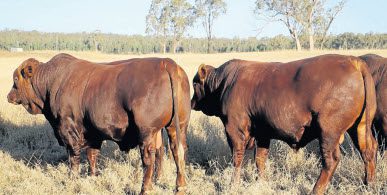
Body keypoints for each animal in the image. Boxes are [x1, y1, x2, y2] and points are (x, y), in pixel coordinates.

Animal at [6, 53, 192, 193]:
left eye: (15, 80)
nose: (8, 96)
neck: (52, 81)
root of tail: (166, 62)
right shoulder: (92, 132)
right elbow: (92, 155)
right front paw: (92, 177)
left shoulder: (68, 128)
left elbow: (73, 156)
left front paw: (72, 178)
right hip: (177, 127)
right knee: (178, 151)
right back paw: (180, 186)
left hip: (147, 132)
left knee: (149, 159)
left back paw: (146, 188)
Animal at [191, 54, 378, 194]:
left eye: (194, 83)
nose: (191, 102)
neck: (225, 82)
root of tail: (354, 61)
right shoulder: (263, 133)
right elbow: (260, 159)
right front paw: (263, 182)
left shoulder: (234, 128)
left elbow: (237, 158)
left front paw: (233, 185)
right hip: (359, 127)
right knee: (368, 151)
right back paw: (368, 184)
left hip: (328, 131)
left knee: (330, 160)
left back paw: (315, 190)